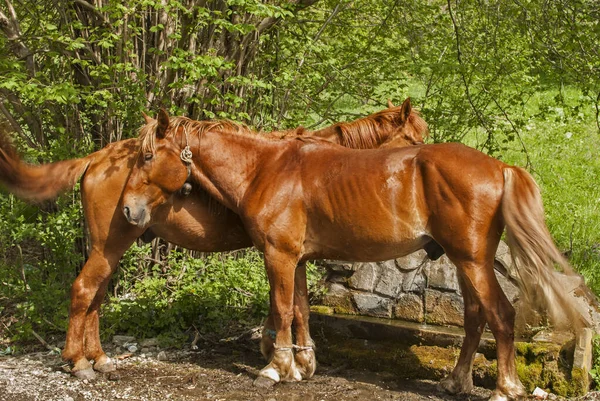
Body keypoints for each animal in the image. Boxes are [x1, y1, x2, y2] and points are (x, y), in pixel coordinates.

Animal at [0, 97, 426, 378]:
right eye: (415, 139)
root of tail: (97, 157)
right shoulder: (279, 253)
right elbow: (284, 306)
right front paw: (278, 355)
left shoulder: (293, 256)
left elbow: (295, 308)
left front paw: (292, 357)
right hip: (111, 243)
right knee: (84, 290)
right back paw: (77, 361)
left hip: (112, 247)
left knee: (96, 296)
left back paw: (98, 358)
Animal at [123, 108, 592, 398]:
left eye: (146, 155)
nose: (128, 209)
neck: (266, 169)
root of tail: (499, 167)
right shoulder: (295, 260)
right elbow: (299, 309)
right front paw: (300, 366)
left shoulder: (278, 256)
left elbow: (282, 309)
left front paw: (274, 369)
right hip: (463, 262)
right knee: (476, 317)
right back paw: (456, 382)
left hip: (473, 261)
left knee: (500, 315)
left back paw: (504, 389)